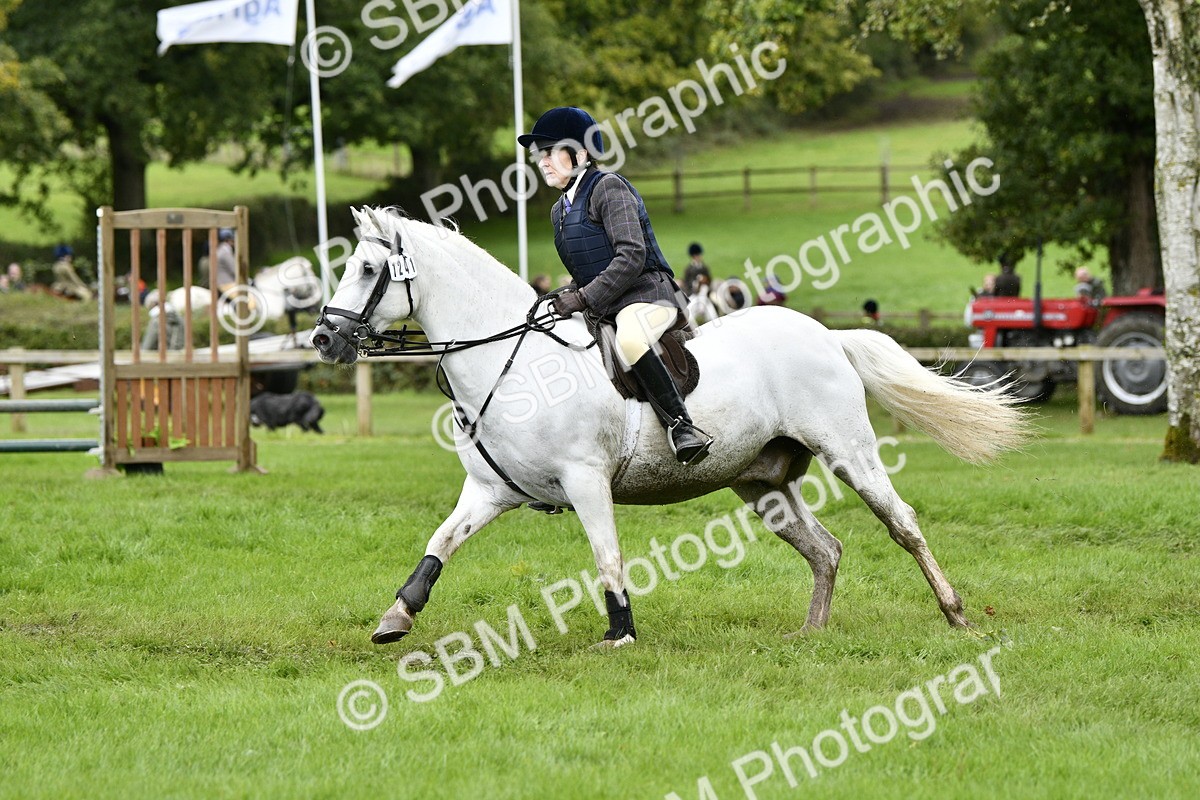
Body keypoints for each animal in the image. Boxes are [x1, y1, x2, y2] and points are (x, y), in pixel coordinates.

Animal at [310, 207, 1030, 648]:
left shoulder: (586, 481)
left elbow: (607, 558)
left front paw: (620, 633)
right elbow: (439, 545)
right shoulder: (489, 491)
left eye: (368, 269)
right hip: (763, 482)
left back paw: (956, 613)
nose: (323, 338)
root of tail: (826, 334)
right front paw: (396, 617)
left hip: (848, 452)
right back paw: (812, 633)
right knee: (825, 549)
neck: (515, 359)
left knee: (901, 523)